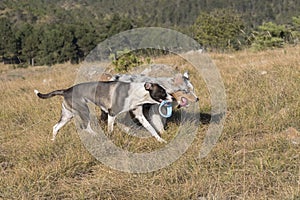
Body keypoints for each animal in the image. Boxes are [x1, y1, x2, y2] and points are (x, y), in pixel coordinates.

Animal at [34, 81, 172, 142]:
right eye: (162, 92)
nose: (172, 98)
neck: (137, 92)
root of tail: (66, 90)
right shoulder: (112, 113)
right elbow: (110, 130)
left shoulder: (140, 115)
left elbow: (151, 129)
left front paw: (161, 141)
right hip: (84, 111)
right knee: (85, 127)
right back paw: (97, 135)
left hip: (67, 116)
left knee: (55, 127)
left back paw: (53, 141)